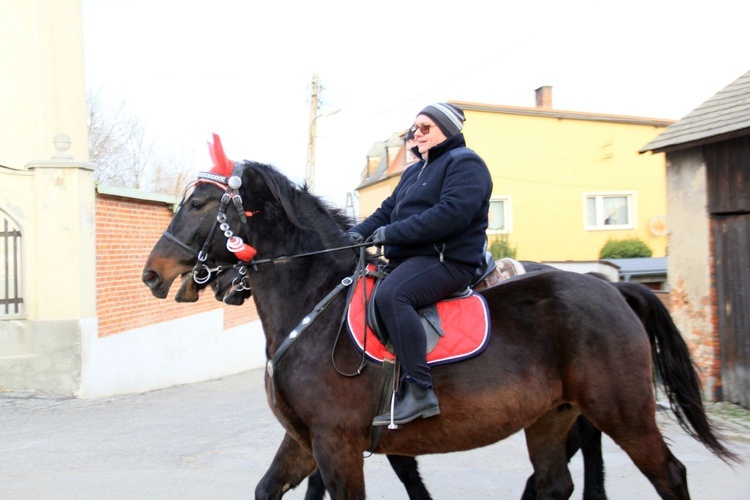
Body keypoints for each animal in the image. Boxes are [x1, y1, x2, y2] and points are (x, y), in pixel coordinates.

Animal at [144, 160, 736, 500]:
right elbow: (268, 490)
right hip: (552, 416)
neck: (315, 304)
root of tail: (612, 289)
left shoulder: (337, 443)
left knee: (669, 475)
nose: (152, 273)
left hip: (623, 412)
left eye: (198, 203)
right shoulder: (305, 442)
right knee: (554, 483)